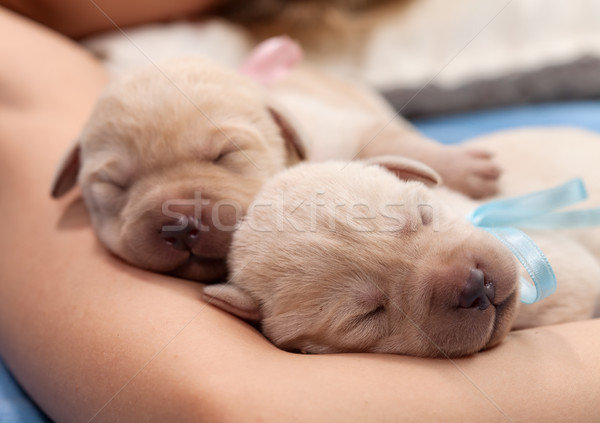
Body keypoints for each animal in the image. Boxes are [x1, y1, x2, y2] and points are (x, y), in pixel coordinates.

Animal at [51, 55, 500, 282]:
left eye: (225, 154)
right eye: (114, 185)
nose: (178, 226)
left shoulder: (345, 127)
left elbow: (399, 144)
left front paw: (468, 170)